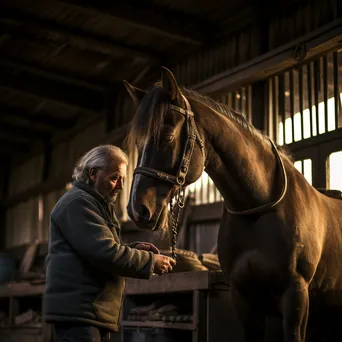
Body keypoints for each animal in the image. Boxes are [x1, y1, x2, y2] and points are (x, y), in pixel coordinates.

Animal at [124, 67, 342, 342]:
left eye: (167, 136)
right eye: (138, 144)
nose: (137, 210)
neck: (258, 209)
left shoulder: (295, 295)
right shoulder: (242, 297)